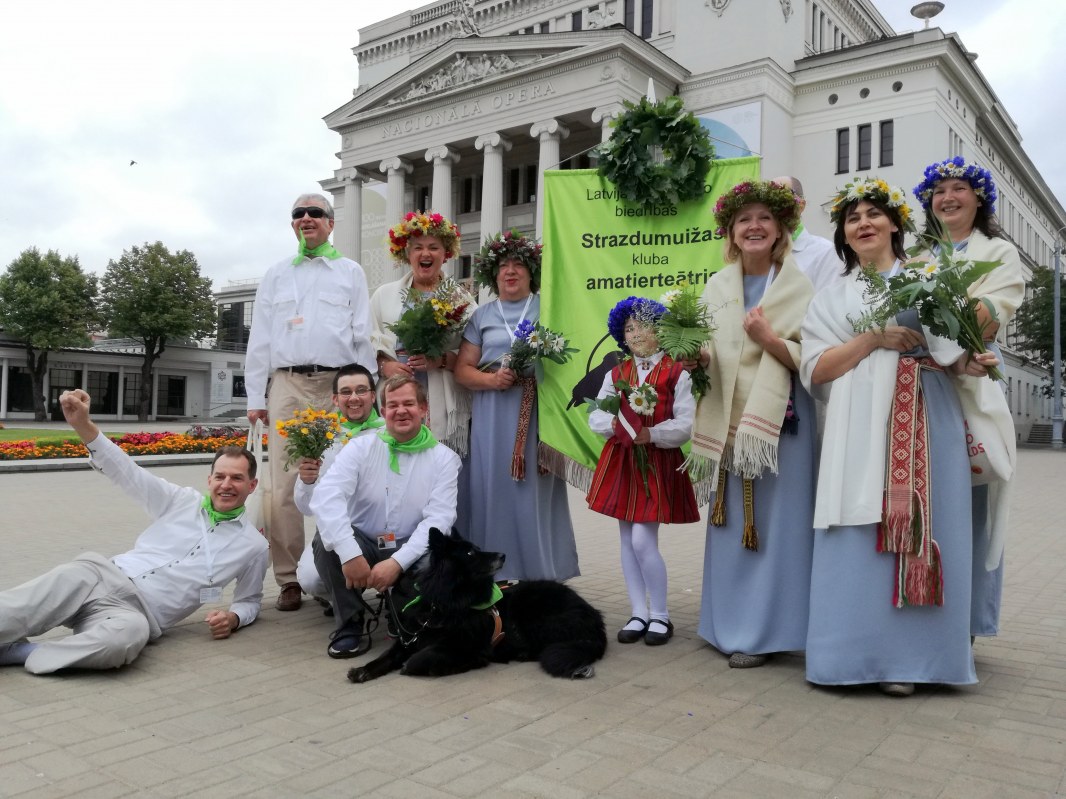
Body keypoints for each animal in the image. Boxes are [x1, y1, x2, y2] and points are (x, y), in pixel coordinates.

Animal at [345, 528, 605, 686]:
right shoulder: (411, 638)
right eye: (470, 552)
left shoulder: (467, 647)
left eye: (477, 548)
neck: (447, 603)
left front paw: (418, 665)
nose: (503, 554)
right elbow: (387, 656)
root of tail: (594, 620)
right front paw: (363, 670)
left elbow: (423, 656)